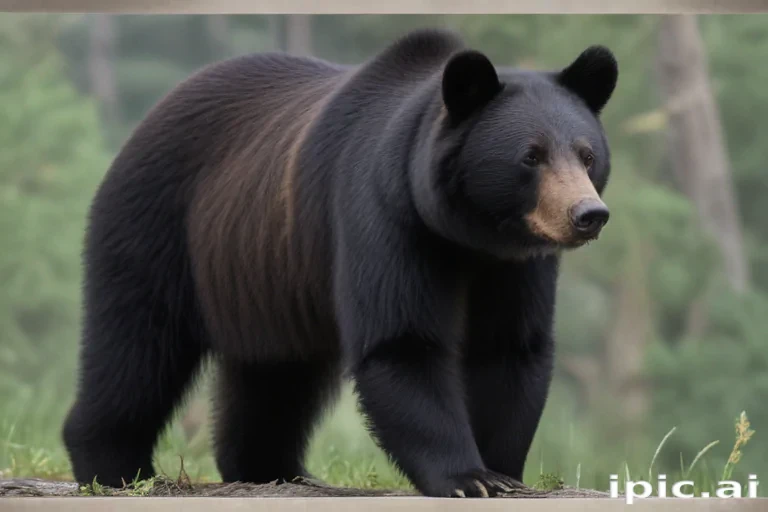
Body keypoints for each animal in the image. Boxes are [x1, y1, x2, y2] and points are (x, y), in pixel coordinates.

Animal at [62, 28, 617, 498]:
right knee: (136, 345)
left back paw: (274, 468)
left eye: (587, 155)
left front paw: (502, 470)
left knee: (276, 376)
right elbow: (401, 343)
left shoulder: (516, 263)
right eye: (531, 156)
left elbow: (509, 347)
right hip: (162, 228)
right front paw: (467, 477)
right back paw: (115, 466)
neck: (465, 233)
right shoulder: (384, 216)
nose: (588, 215)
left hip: (267, 277)